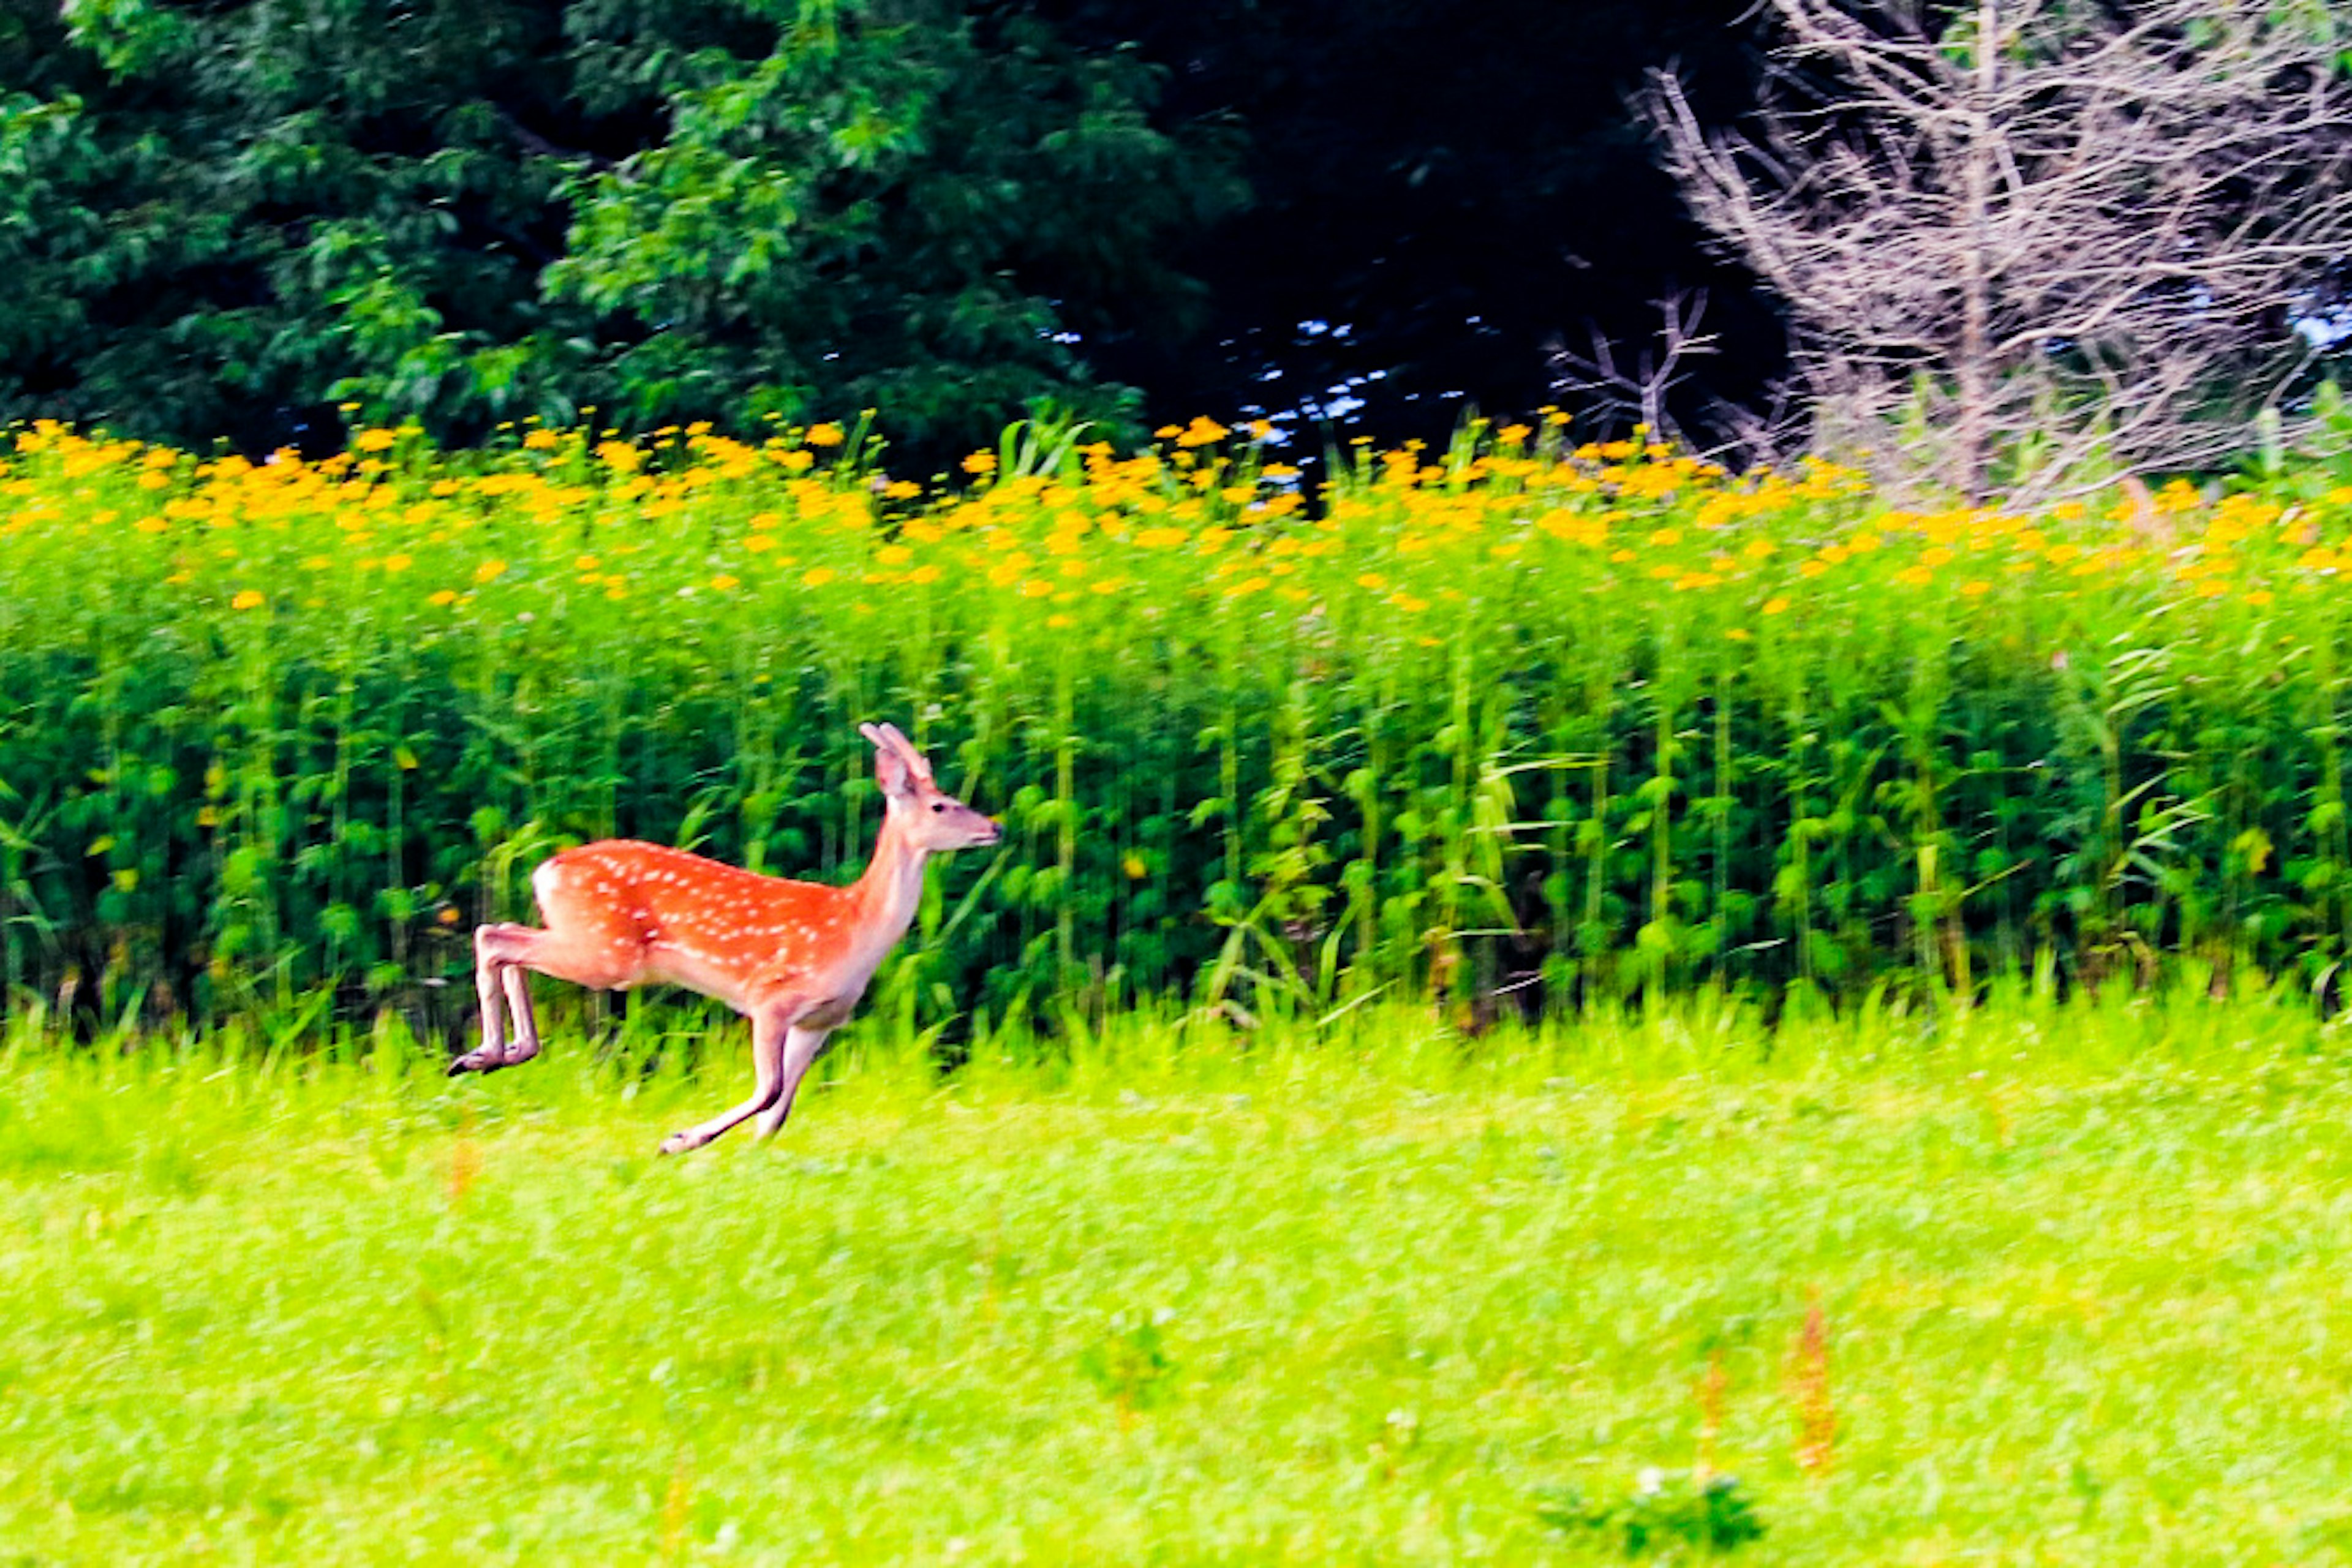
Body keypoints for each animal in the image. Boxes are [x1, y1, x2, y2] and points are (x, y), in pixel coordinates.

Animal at [451, 724, 1001, 1152]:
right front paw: (680, 1141)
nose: (995, 827)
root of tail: (547, 869)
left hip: (591, 942)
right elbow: (770, 1090)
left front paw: (748, 1155)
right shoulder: (771, 997)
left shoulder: (821, 1020)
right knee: (493, 936)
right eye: (941, 806)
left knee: (504, 935)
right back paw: (484, 1054)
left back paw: (499, 1054)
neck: (854, 931)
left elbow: (780, 1110)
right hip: (608, 952)